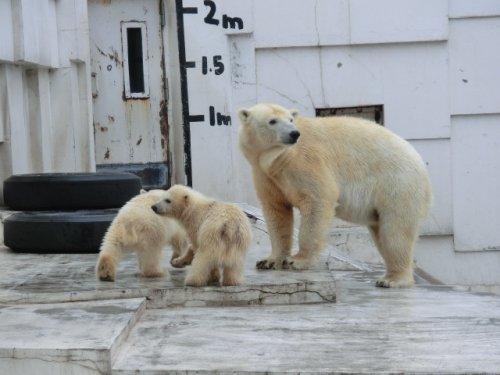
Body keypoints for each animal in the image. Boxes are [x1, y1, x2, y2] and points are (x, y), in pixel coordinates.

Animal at [237, 103, 430, 288]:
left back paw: (392, 280)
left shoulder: (305, 160)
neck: (276, 159)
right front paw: (268, 261)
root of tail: (421, 165)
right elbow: (277, 212)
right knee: (382, 233)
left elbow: (318, 198)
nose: (294, 134)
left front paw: (296, 260)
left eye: (291, 119)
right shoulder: (265, 175)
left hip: (398, 185)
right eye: (272, 121)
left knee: (395, 232)